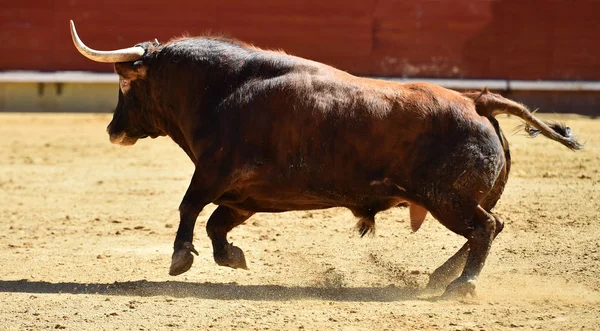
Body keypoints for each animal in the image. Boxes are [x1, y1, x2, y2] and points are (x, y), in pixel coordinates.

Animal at [70, 22, 580, 300]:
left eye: (125, 84)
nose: (113, 130)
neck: (222, 89)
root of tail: (477, 101)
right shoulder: (244, 195)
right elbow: (216, 223)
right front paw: (233, 258)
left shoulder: (213, 173)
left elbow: (189, 206)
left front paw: (180, 258)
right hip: (453, 200)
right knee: (491, 226)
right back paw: (440, 277)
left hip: (446, 200)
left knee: (485, 228)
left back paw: (462, 286)